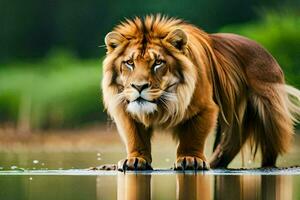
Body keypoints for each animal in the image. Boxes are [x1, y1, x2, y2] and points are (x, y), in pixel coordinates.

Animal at [101, 14, 300, 170]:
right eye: (129, 63)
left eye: (158, 62)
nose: (138, 86)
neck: (165, 102)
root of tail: (267, 53)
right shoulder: (126, 108)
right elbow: (136, 137)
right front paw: (135, 160)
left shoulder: (205, 108)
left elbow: (193, 137)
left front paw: (190, 159)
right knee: (231, 144)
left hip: (269, 112)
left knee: (269, 147)